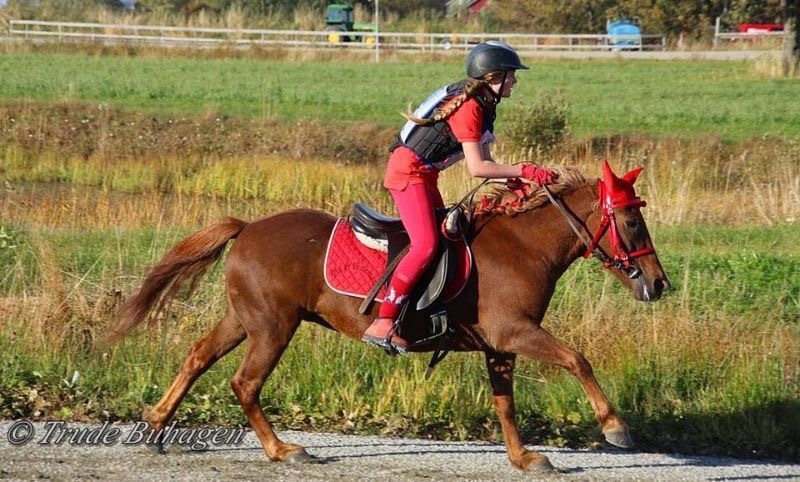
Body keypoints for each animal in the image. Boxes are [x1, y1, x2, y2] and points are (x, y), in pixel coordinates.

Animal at [106, 162, 668, 470]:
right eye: (632, 222)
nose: (659, 284)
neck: (523, 247)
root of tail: (246, 228)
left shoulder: (501, 344)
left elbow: (506, 404)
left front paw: (523, 458)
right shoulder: (517, 332)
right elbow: (577, 360)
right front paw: (615, 427)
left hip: (245, 318)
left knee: (198, 357)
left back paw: (155, 426)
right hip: (272, 326)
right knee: (245, 383)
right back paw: (282, 449)